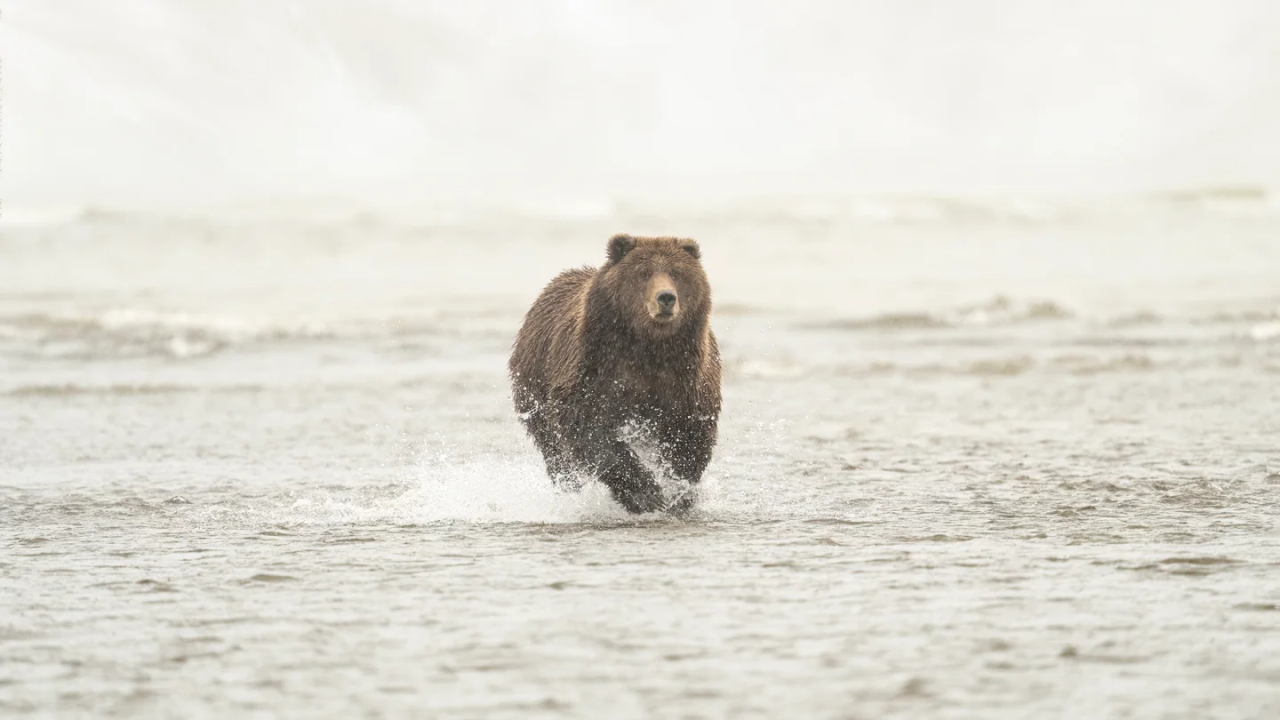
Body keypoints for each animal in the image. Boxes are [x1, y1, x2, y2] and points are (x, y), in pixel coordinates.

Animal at [508, 234, 722, 515]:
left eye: (677, 272)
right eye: (643, 273)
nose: (666, 297)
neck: (650, 348)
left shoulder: (686, 379)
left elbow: (689, 436)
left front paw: (677, 492)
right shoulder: (595, 366)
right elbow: (587, 426)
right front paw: (645, 493)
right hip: (534, 385)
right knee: (554, 449)